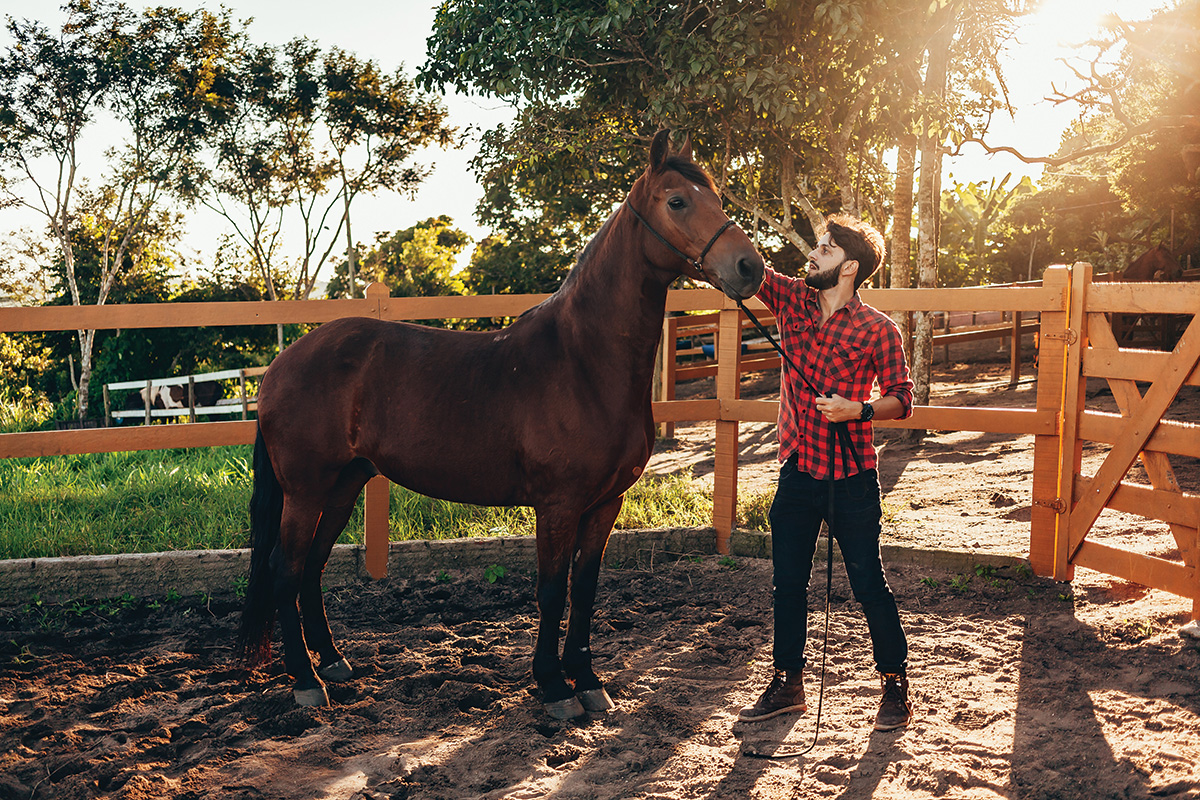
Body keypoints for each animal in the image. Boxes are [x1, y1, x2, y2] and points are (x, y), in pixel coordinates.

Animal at [237, 131, 763, 719]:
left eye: (714, 195)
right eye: (677, 201)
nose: (750, 267)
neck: (583, 361)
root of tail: (280, 365)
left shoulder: (605, 503)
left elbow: (585, 590)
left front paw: (588, 681)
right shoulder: (558, 504)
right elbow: (552, 591)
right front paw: (555, 687)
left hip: (345, 485)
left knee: (311, 569)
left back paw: (332, 662)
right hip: (306, 491)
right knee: (285, 570)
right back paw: (306, 681)